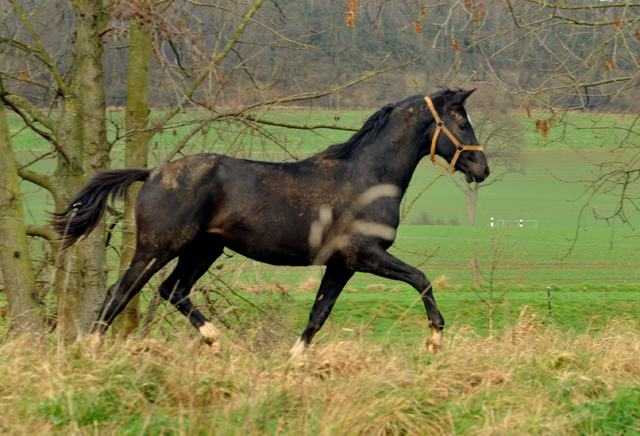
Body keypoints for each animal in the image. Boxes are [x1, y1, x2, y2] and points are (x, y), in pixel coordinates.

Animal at [53, 88, 490, 354]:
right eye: (462, 122)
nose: (481, 169)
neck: (367, 176)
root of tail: (153, 173)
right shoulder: (365, 254)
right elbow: (421, 278)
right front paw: (434, 338)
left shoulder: (342, 264)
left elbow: (318, 314)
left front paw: (293, 362)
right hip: (158, 247)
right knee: (121, 292)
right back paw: (92, 352)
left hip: (204, 249)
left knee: (172, 289)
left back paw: (215, 340)